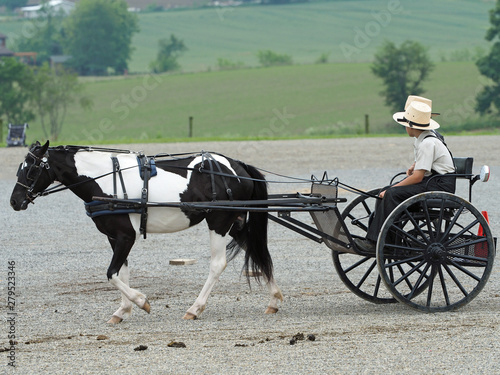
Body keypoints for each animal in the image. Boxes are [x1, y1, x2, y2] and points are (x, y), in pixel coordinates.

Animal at [9, 141, 284, 324]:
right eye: (20, 167)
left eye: (31, 168)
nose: (14, 201)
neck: (106, 181)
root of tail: (237, 165)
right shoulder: (115, 237)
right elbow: (122, 272)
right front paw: (122, 311)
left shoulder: (126, 236)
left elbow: (111, 274)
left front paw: (141, 301)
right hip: (235, 223)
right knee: (258, 252)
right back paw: (273, 300)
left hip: (218, 221)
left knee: (218, 264)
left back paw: (195, 308)